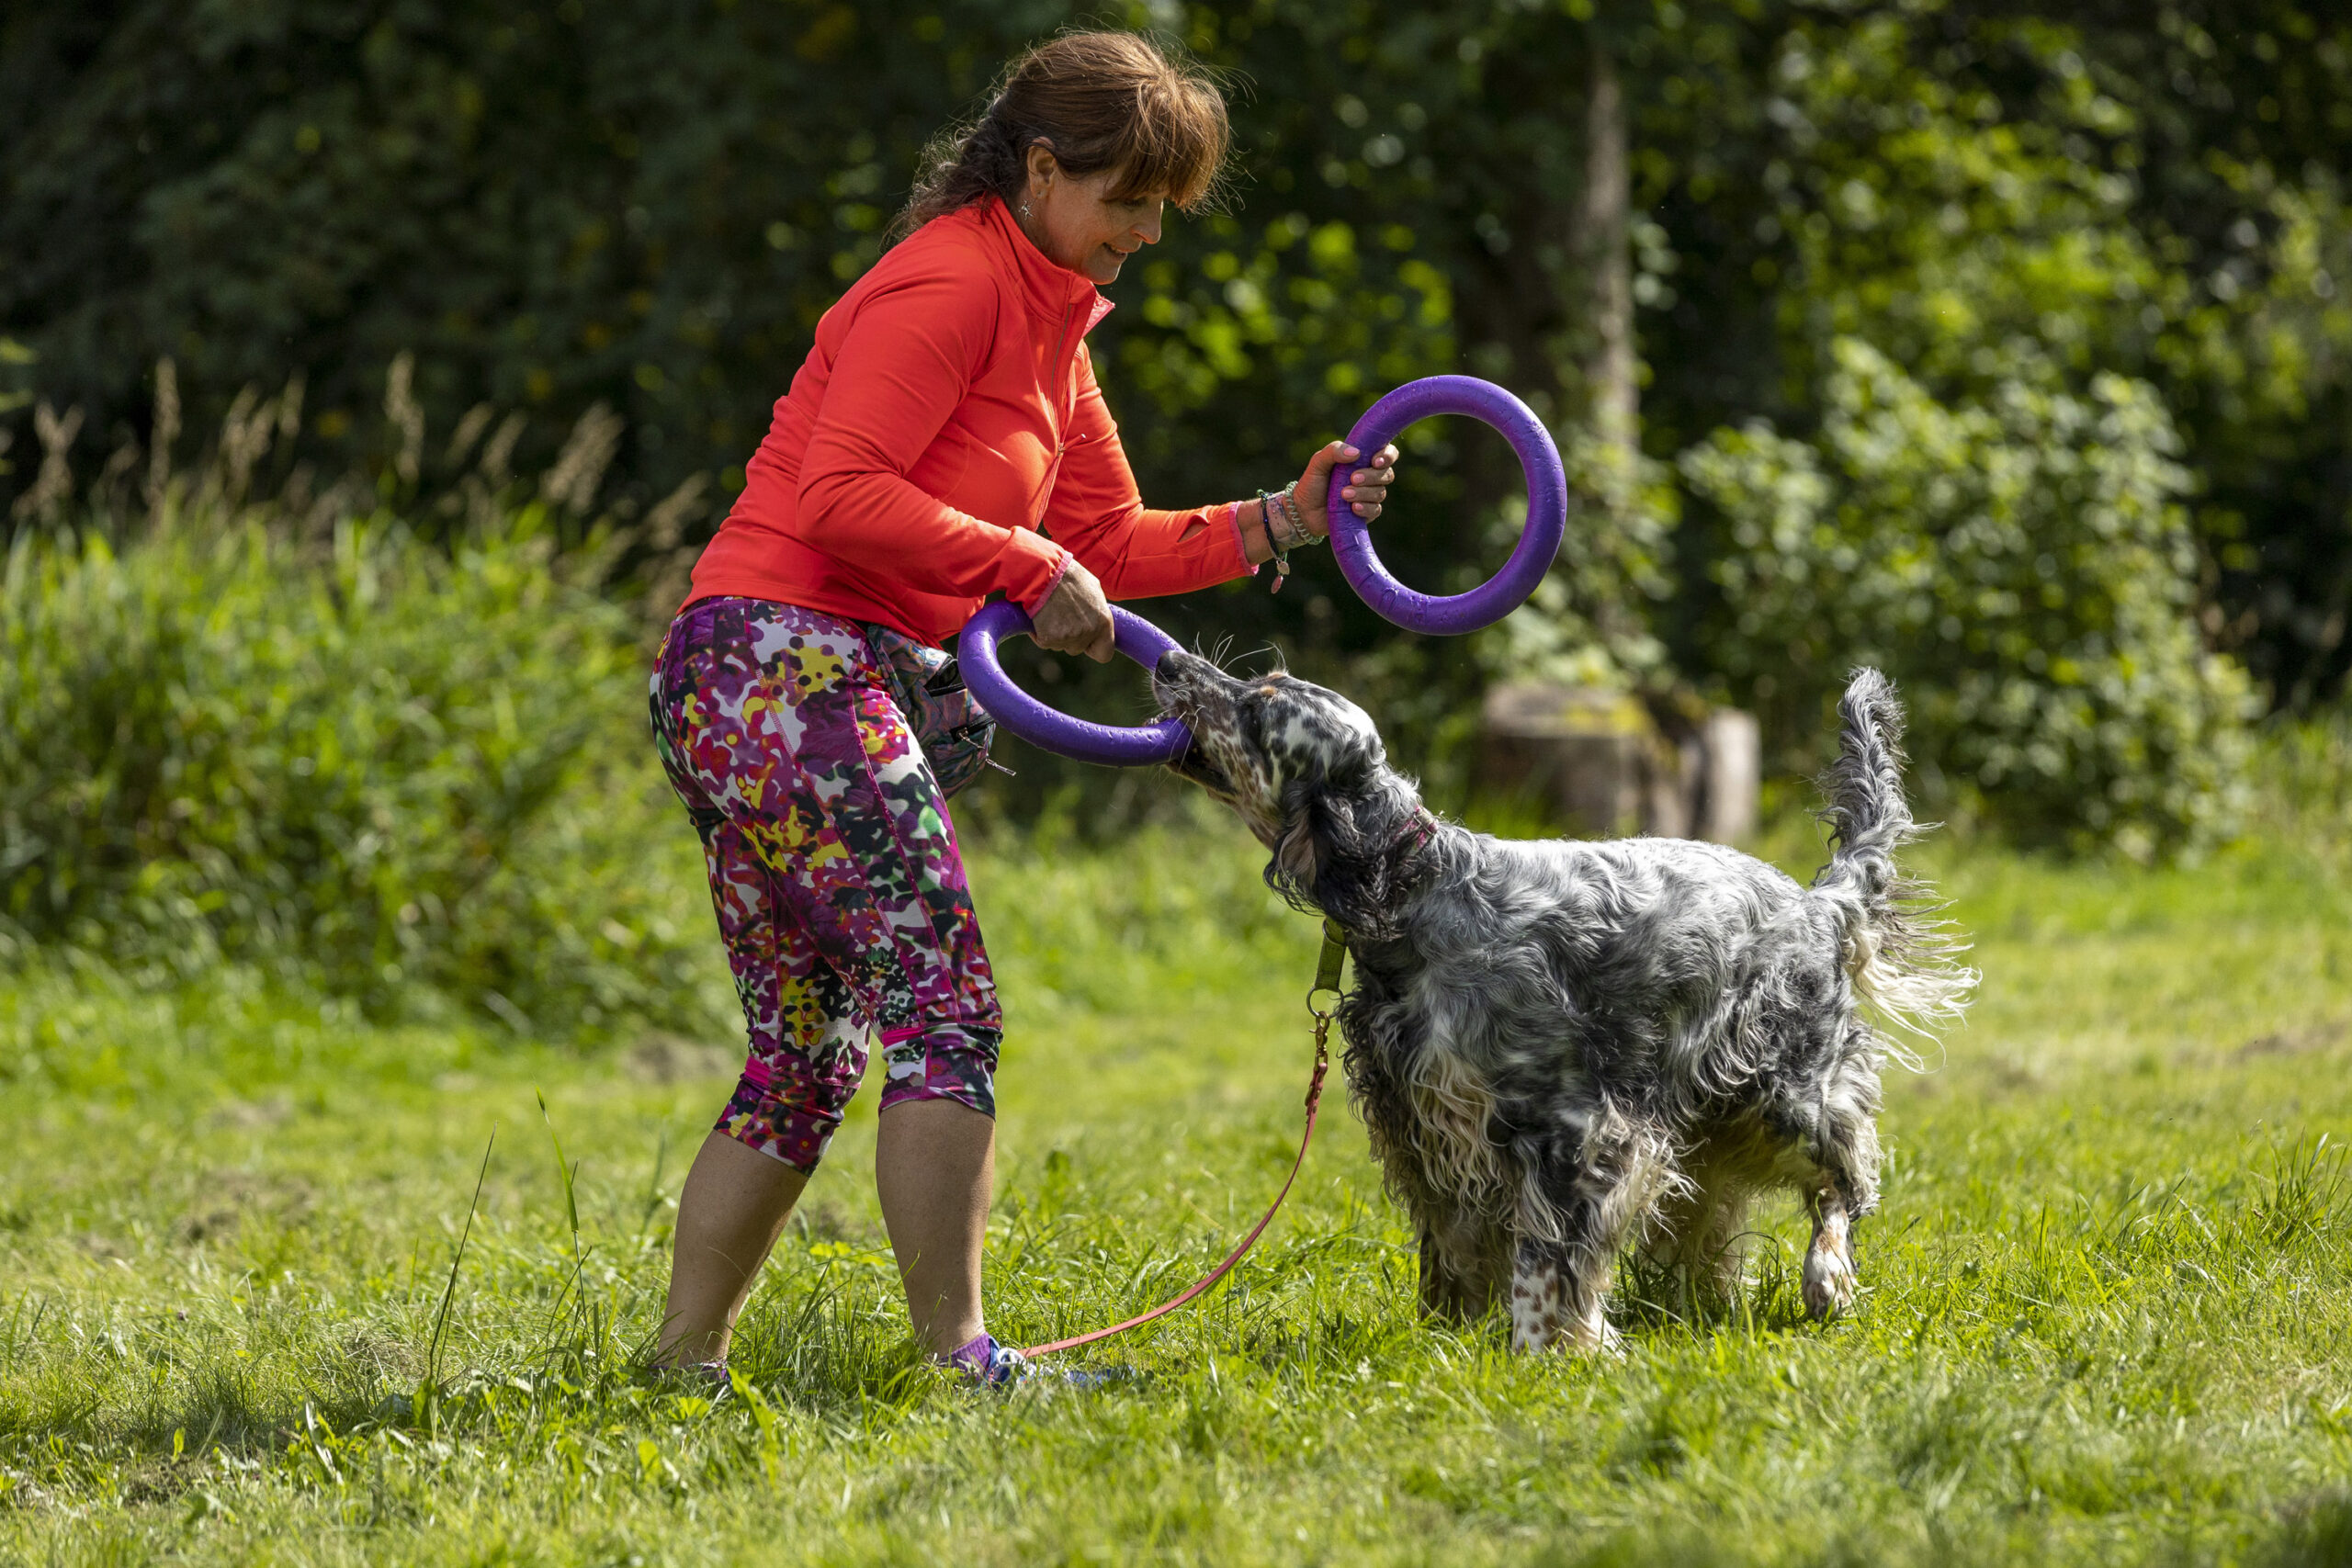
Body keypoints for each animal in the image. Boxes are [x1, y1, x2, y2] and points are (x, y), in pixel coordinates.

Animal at [1152, 658, 1966, 1354]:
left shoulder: (1579, 1129)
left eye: (1260, 706)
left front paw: (1548, 1348)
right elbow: (1452, 1256)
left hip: (1788, 1096)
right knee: (1705, 1230)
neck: (1419, 893)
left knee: (1847, 1180)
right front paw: (1449, 1341)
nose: (1168, 663)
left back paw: (1827, 1275)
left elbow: (1543, 1263)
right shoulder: (1427, 1125)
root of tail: (1822, 899)